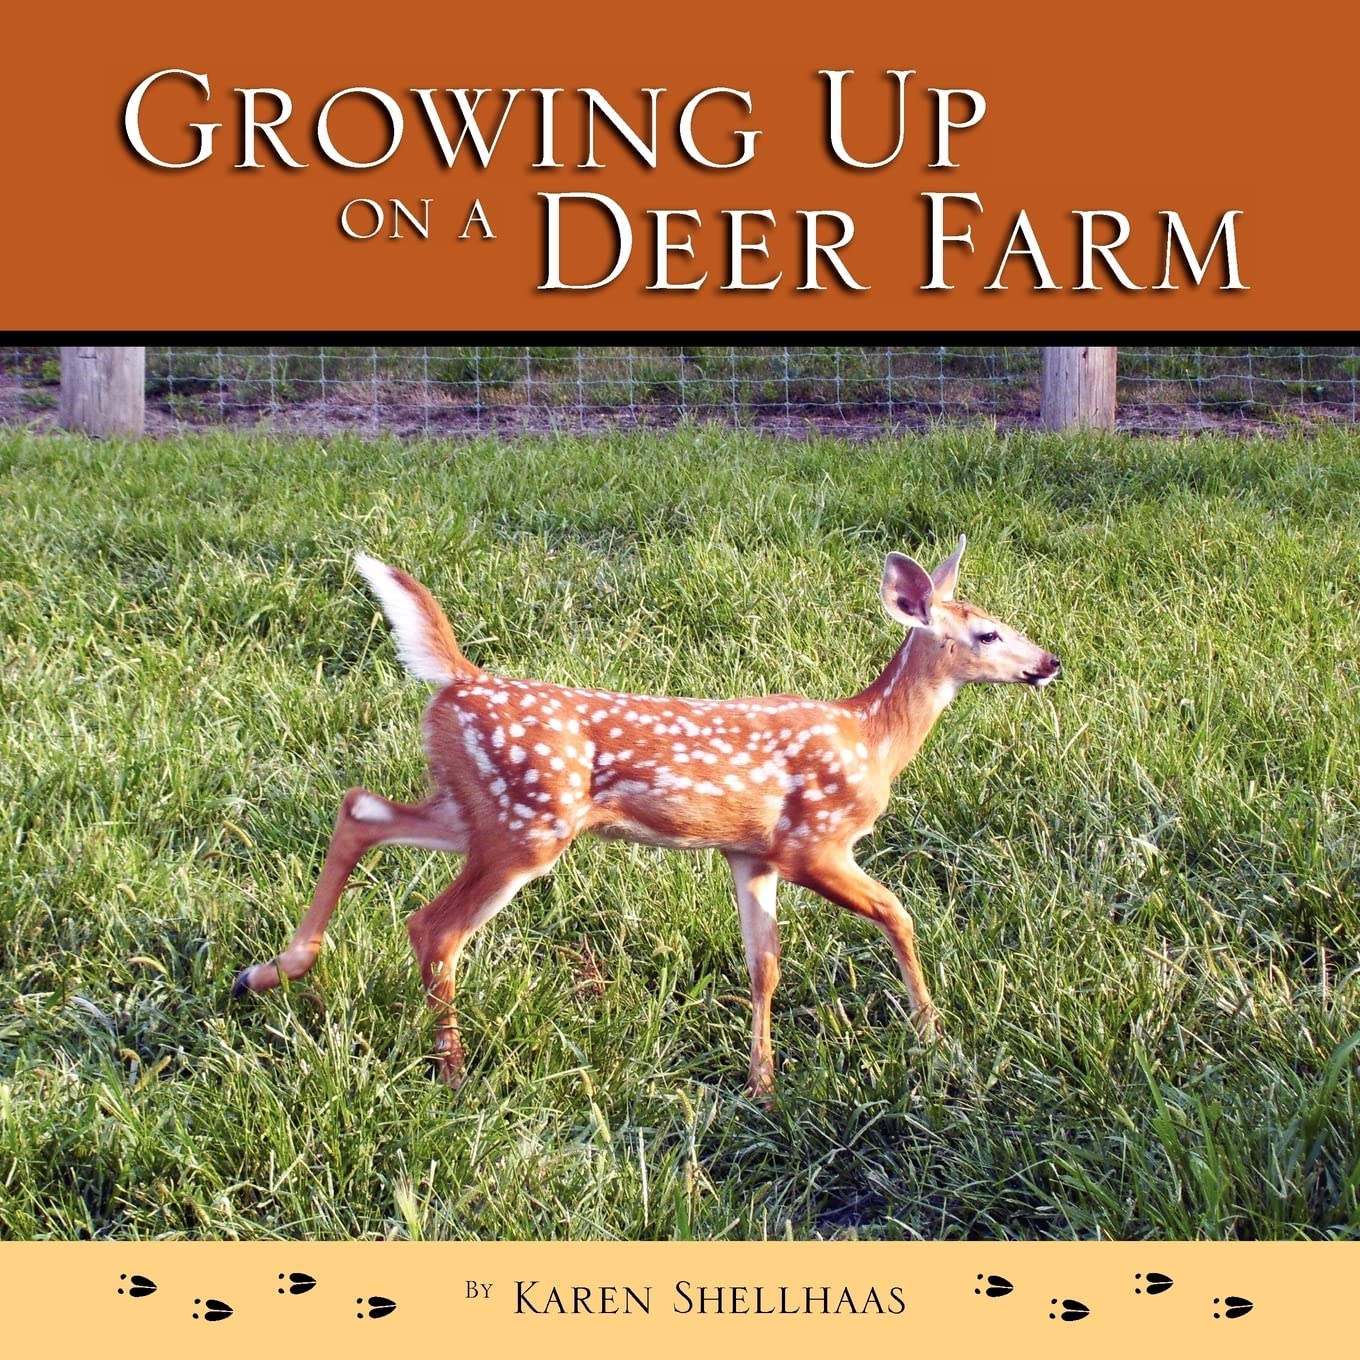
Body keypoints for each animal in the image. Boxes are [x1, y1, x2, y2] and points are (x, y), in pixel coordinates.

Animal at [232, 537, 1060, 1096]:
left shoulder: (749, 854)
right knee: (432, 926)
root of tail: (459, 682)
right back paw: (455, 1071)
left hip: (477, 808)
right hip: (527, 827)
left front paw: (762, 1083)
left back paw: (268, 972)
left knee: (360, 808)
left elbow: (764, 961)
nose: (1047, 663)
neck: (873, 737)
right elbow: (898, 913)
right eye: (987, 632)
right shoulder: (813, 843)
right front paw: (933, 1035)